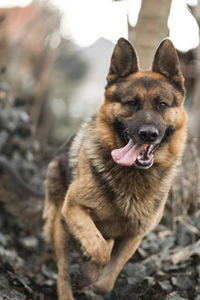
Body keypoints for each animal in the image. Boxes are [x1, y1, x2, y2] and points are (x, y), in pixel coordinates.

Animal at [42, 38, 188, 298]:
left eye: (162, 105)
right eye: (132, 103)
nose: (148, 134)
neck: (132, 177)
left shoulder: (133, 235)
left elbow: (108, 277)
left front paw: (94, 281)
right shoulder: (75, 209)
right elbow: (99, 250)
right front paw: (86, 275)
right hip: (61, 226)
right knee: (62, 272)